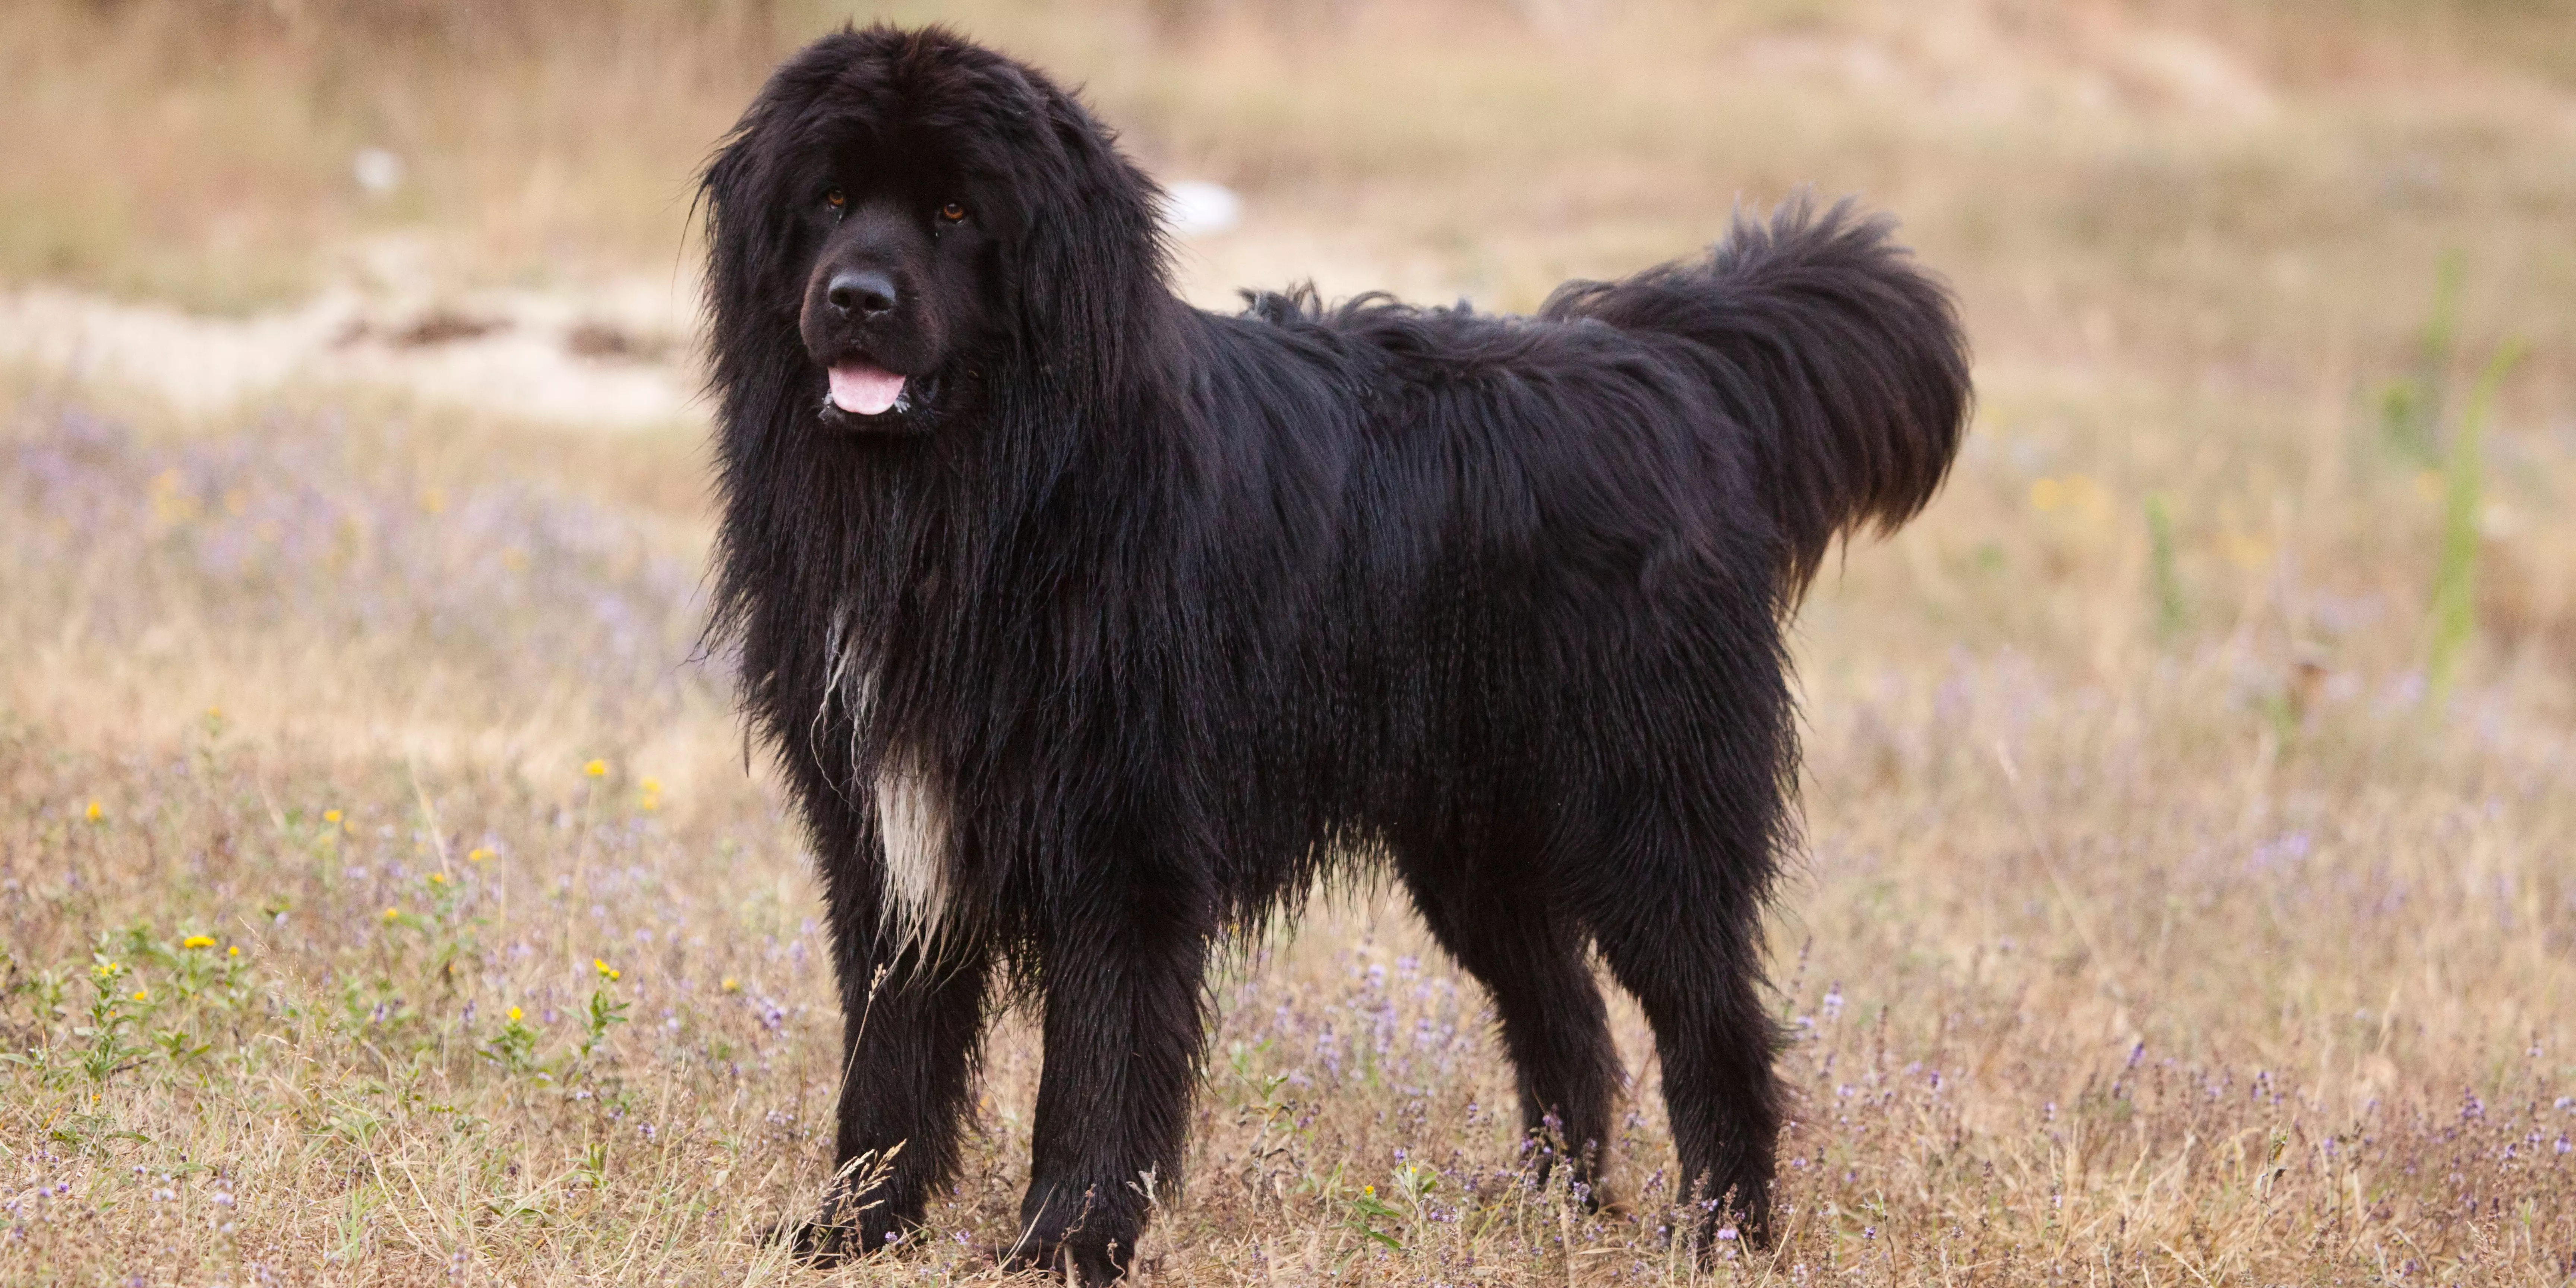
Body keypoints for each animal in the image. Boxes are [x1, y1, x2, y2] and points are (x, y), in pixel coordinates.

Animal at [705, 20, 1968, 1278]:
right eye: (829, 200)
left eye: (958, 212)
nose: (856, 298)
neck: (989, 497)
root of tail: (1663, 362)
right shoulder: (884, 835)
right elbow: (892, 1061)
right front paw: (852, 1228)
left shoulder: (1123, 844)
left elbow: (1098, 1068)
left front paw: (1066, 1243)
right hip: (1479, 840)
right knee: (1567, 1018)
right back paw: (1546, 1209)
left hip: (1644, 811)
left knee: (1714, 1023)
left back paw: (1719, 1232)